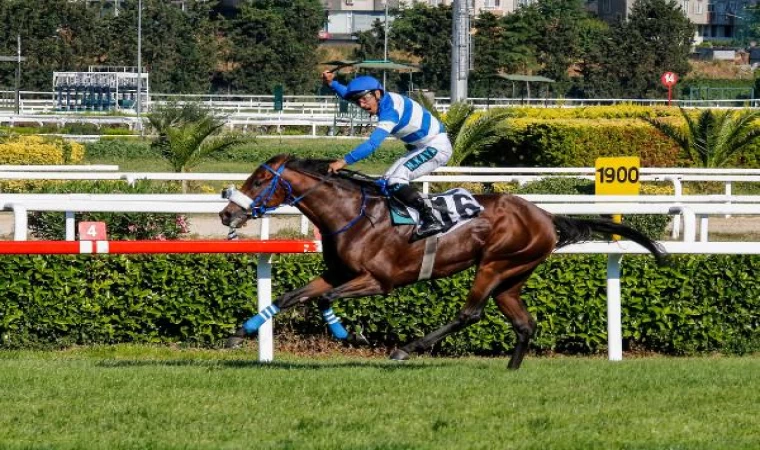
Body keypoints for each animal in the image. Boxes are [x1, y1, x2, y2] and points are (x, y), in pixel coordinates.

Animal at [218, 154, 664, 370]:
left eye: (260, 180)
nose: (226, 214)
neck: (351, 214)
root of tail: (546, 216)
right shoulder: (338, 273)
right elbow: (293, 296)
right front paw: (241, 333)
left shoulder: (378, 280)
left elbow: (322, 301)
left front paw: (352, 336)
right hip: (512, 276)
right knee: (524, 323)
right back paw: (510, 371)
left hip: (495, 265)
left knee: (470, 312)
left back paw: (406, 349)